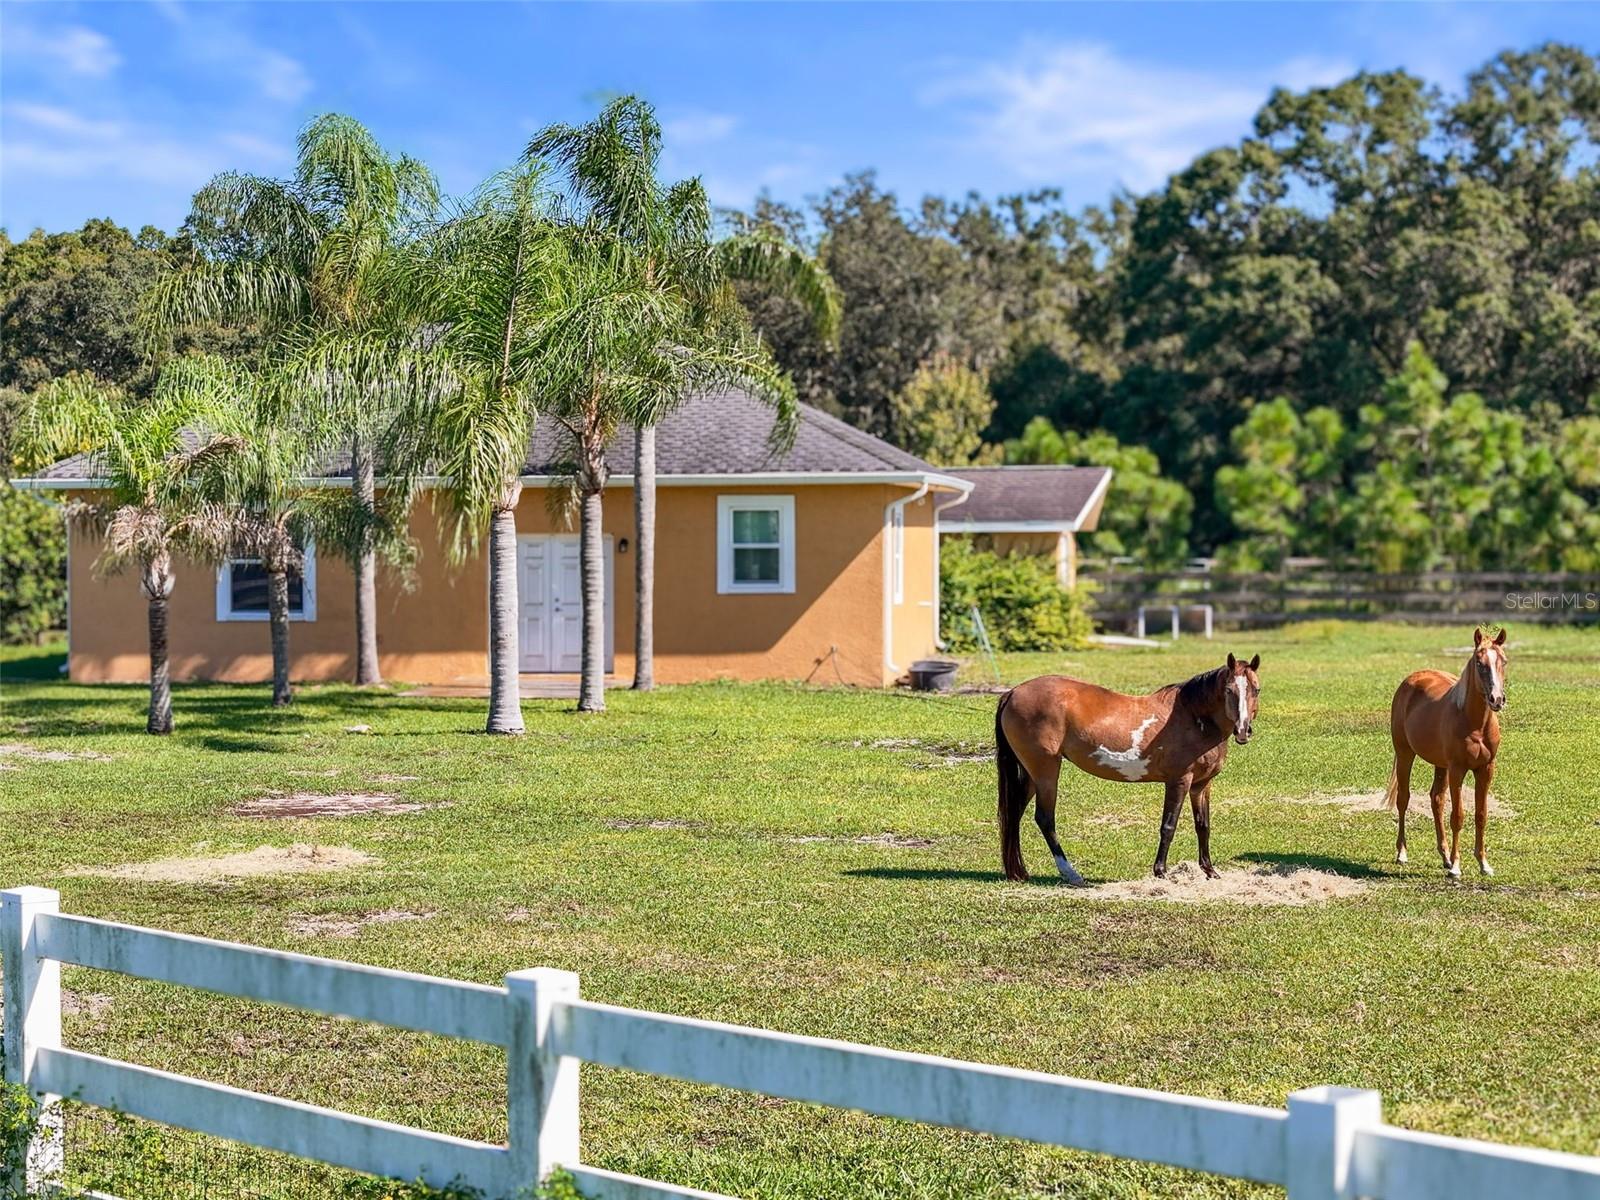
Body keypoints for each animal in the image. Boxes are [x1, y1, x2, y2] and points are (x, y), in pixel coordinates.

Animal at [992, 652, 1254, 889]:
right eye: (1229, 691)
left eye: (1256, 690)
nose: (1243, 730)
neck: (1193, 717)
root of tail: (1013, 692)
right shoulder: (1179, 781)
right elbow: (1168, 826)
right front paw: (1161, 871)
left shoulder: (1201, 785)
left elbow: (1203, 826)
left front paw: (1209, 870)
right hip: (1046, 771)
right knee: (1045, 819)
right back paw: (1071, 874)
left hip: (1031, 775)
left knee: (1014, 813)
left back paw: (1017, 872)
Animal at [1382, 624, 1504, 876]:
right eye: (1479, 663)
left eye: (1503, 662)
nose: (1496, 699)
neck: (1475, 724)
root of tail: (1412, 678)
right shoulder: (1458, 769)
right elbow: (1458, 816)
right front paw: (1456, 867)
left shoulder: (1486, 769)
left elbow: (1481, 815)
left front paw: (1483, 864)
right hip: (1405, 753)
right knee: (1403, 799)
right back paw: (1402, 853)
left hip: (1441, 764)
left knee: (1436, 800)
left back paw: (1445, 856)